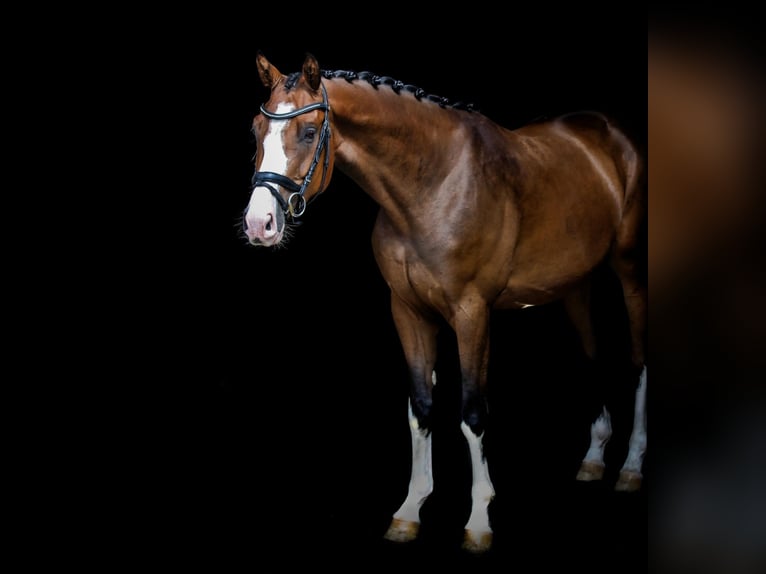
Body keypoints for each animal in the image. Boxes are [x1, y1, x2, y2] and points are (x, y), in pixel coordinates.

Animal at [242, 51, 648, 556]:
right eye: (256, 129)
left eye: (310, 132)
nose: (259, 223)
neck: (432, 185)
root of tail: (612, 134)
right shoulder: (408, 312)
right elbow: (420, 408)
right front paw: (409, 511)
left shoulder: (472, 314)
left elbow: (472, 414)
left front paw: (478, 521)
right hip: (575, 284)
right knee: (593, 356)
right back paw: (593, 458)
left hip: (630, 271)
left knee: (638, 362)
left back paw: (631, 468)